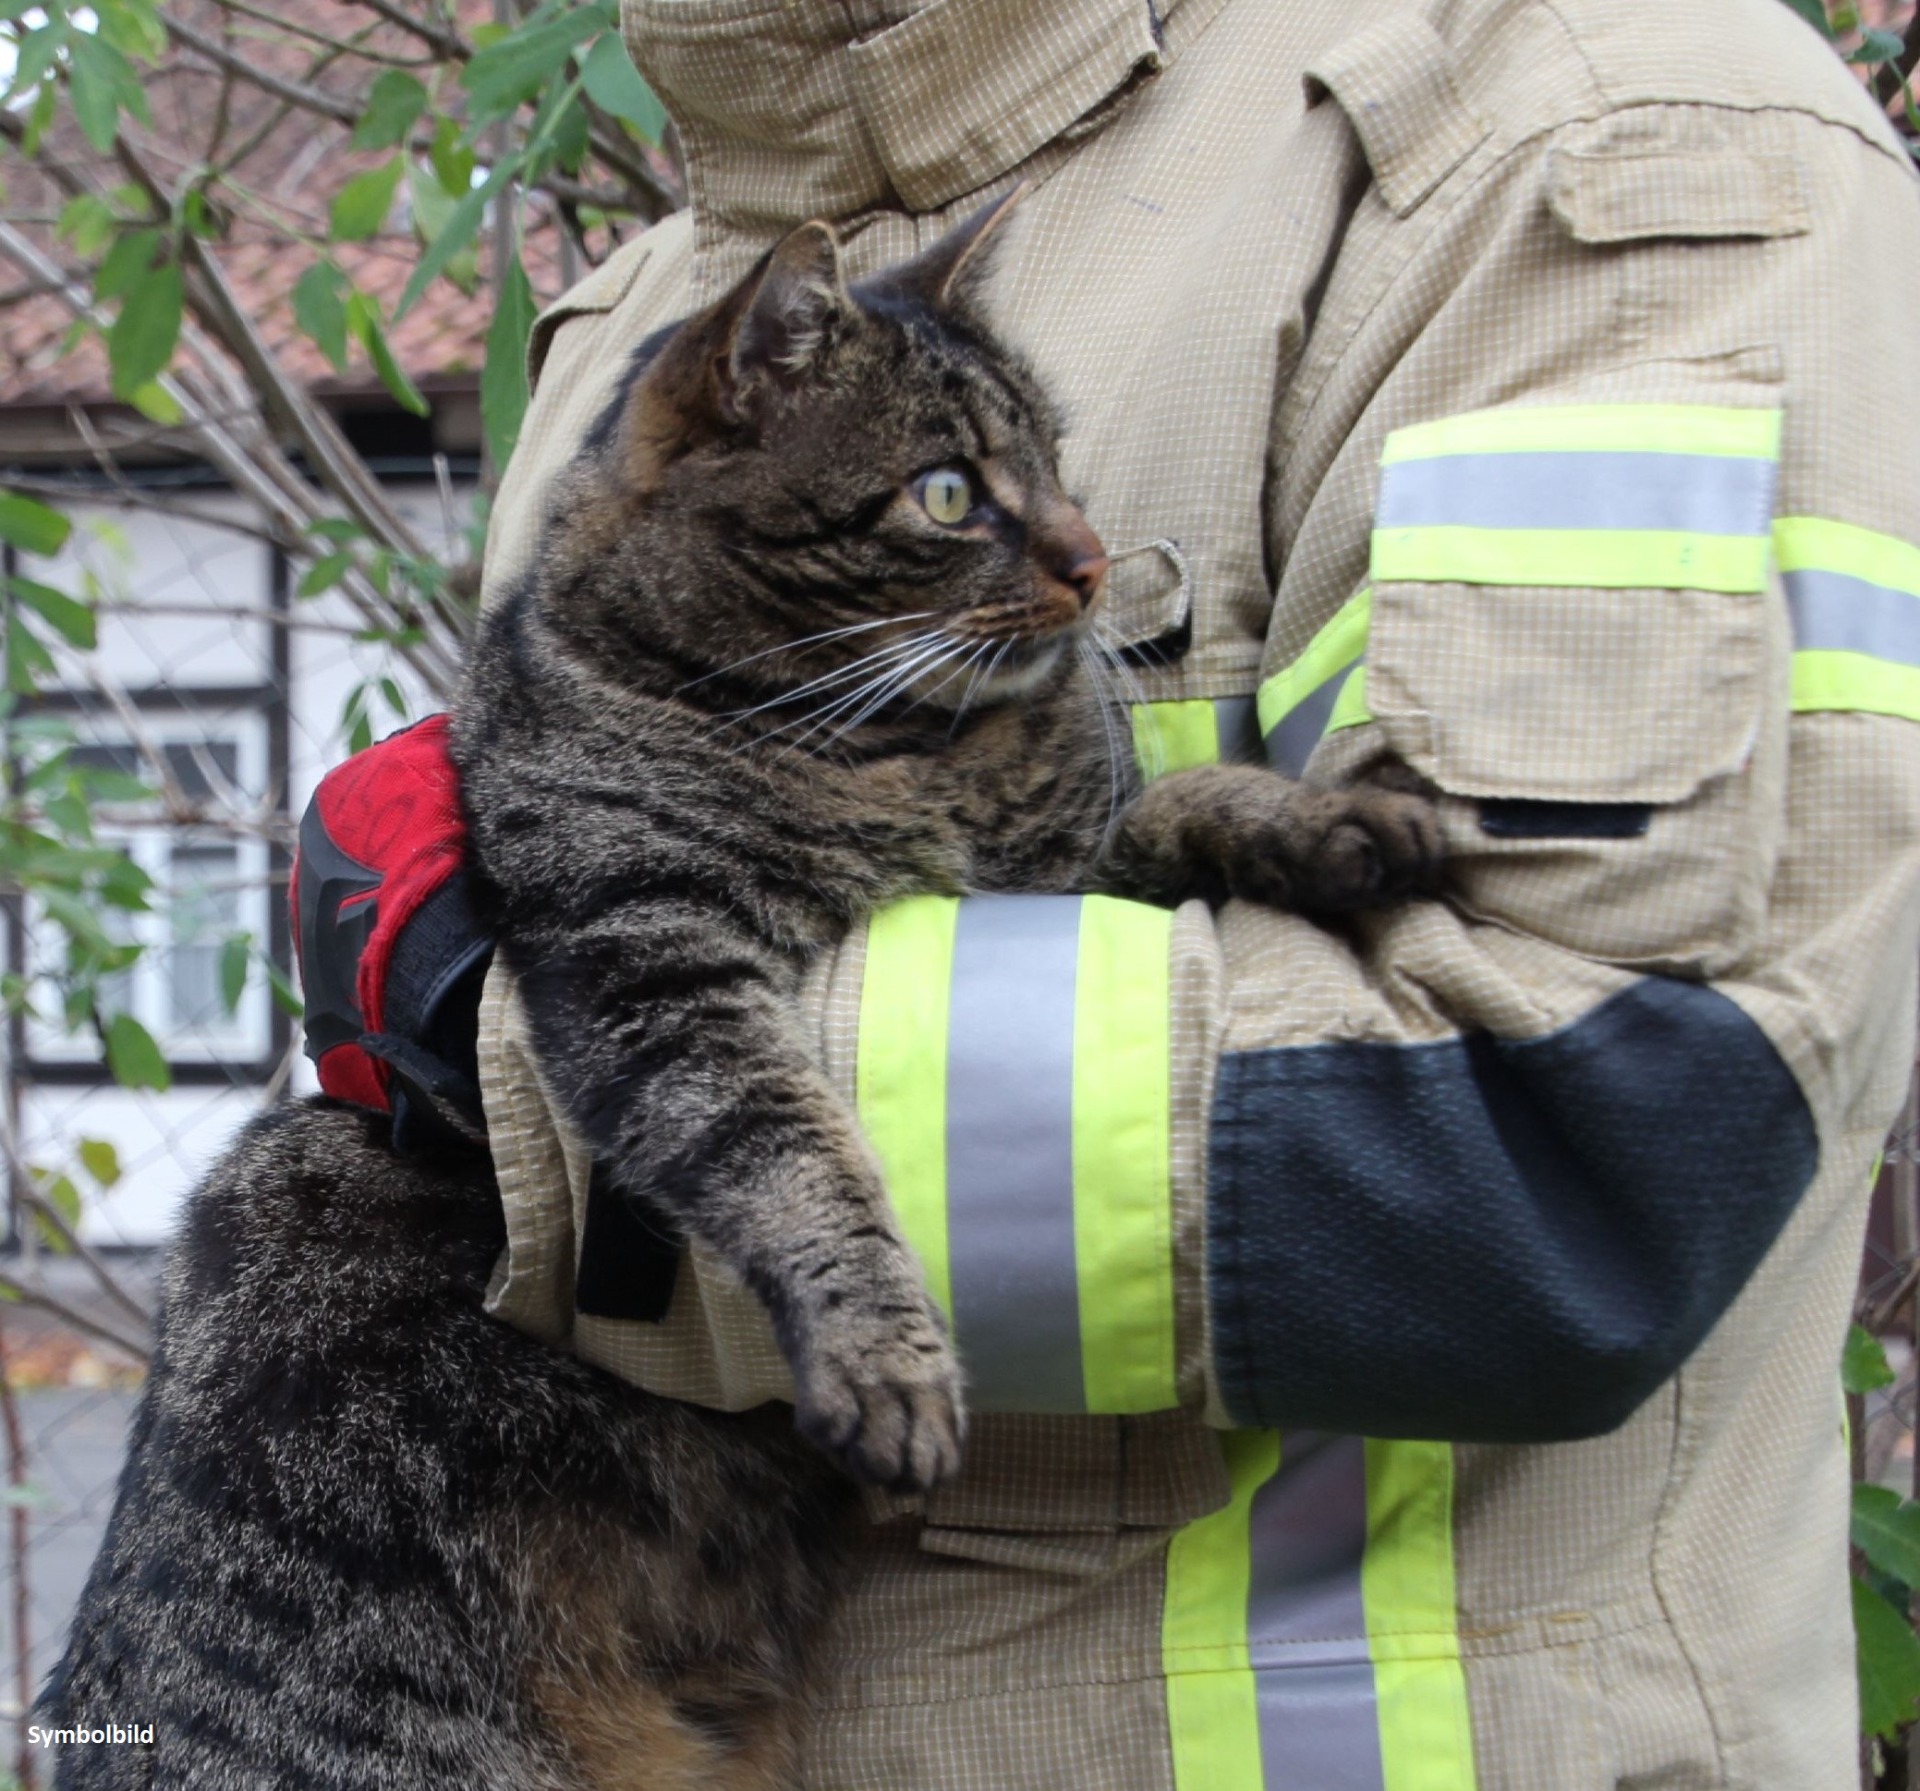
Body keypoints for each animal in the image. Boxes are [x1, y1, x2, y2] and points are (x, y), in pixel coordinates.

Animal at [45, 199, 1443, 1789]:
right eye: (950, 491)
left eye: (1054, 462)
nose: (1095, 560)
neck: (897, 754)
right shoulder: (651, 965)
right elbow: (795, 1161)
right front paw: (885, 1354)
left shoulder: (1066, 882)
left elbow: (1194, 803)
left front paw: (1333, 820)